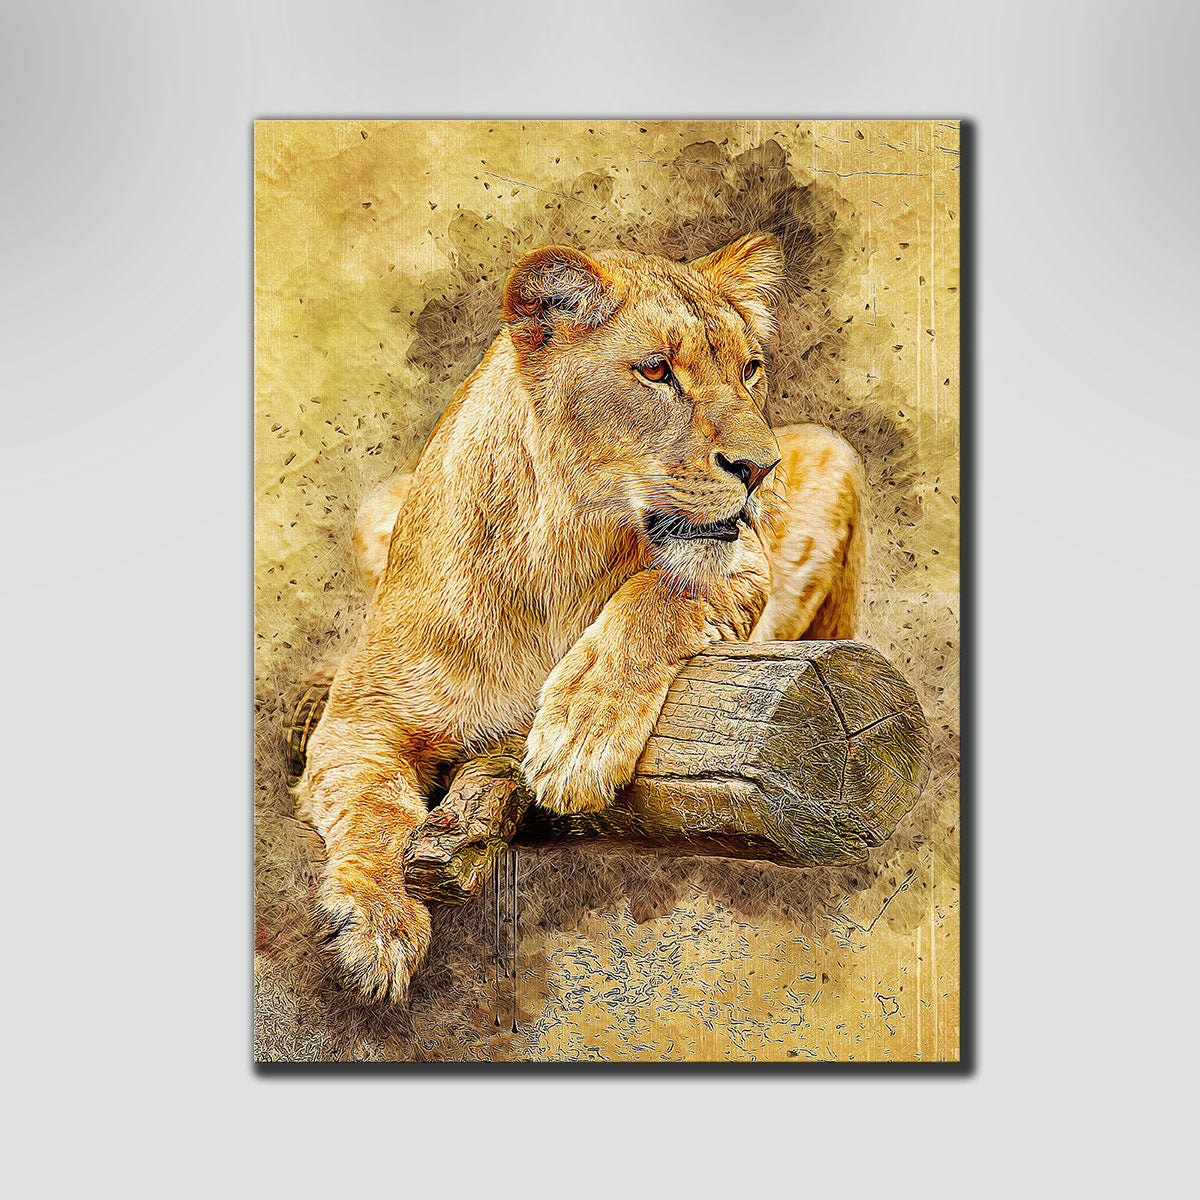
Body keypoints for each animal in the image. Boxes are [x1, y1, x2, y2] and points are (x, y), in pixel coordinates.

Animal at [295, 232, 865, 1004]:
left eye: (750, 368)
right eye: (656, 370)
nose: (760, 468)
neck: (562, 549)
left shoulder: (744, 564)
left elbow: (658, 594)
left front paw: (577, 738)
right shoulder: (361, 715)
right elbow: (372, 805)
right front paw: (376, 925)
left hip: (836, 454)